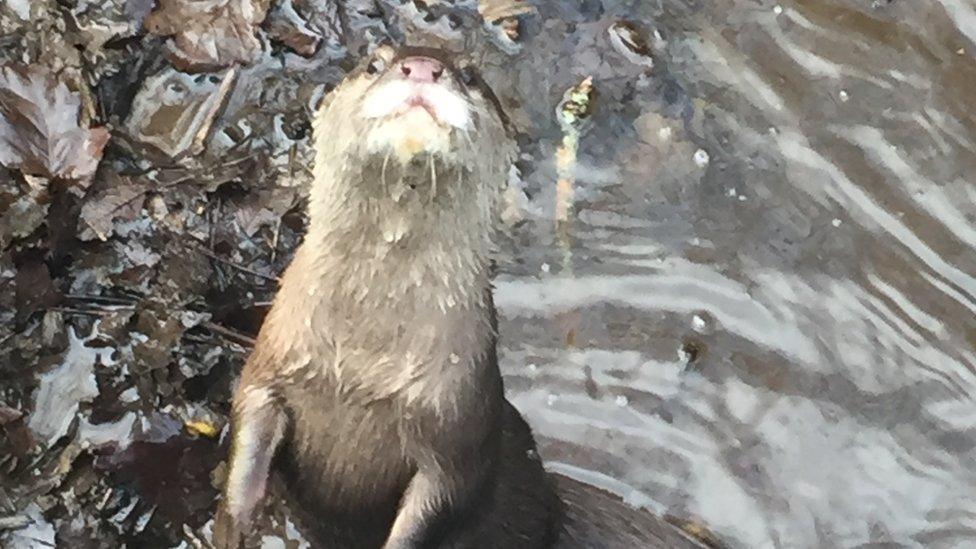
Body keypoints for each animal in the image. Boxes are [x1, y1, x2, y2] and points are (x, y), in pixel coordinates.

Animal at [212, 45, 700, 544]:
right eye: (375, 62)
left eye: (469, 75)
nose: (424, 67)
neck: (364, 366)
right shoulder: (273, 359)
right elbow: (247, 427)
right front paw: (235, 523)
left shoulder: (458, 432)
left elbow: (440, 503)